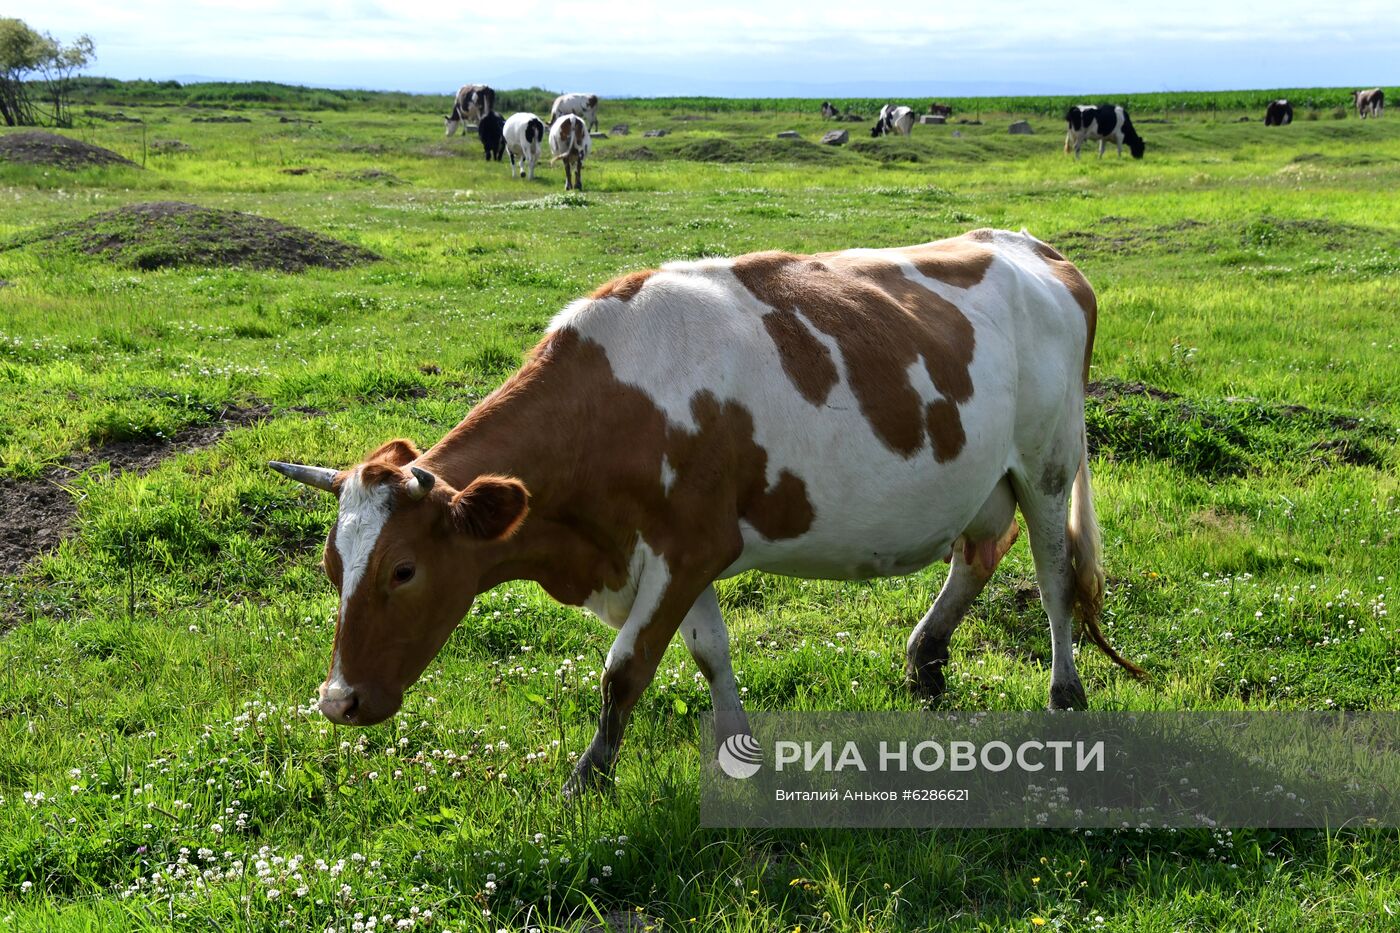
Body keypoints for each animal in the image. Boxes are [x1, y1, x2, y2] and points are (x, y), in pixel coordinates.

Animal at [267, 225, 1142, 790]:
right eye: (333, 567)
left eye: (404, 570)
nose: (337, 701)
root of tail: (1036, 249)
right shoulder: (684, 553)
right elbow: (710, 653)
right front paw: (739, 750)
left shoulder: (686, 550)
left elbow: (624, 669)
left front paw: (587, 779)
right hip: (985, 475)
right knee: (980, 551)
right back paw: (925, 657)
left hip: (1047, 461)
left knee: (1054, 573)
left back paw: (1065, 692)